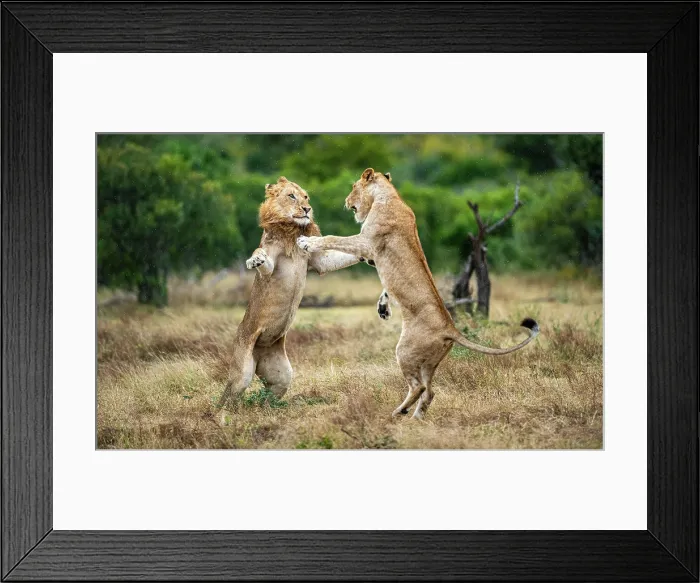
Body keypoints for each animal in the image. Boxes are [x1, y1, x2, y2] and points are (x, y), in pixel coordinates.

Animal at [217, 177, 362, 408]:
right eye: (291, 196)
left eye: (306, 197)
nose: (307, 209)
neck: (292, 230)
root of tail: (260, 349)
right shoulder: (271, 262)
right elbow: (262, 258)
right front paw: (254, 260)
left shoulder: (319, 261)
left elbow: (341, 255)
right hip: (242, 372)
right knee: (229, 397)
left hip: (282, 374)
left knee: (267, 396)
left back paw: (268, 409)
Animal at [297, 168, 539, 420]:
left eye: (354, 187)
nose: (346, 201)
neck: (388, 196)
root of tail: (450, 329)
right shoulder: (371, 254)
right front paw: (383, 307)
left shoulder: (365, 242)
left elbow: (333, 239)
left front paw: (306, 241)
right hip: (429, 362)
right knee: (430, 391)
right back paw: (416, 418)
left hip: (405, 350)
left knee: (419, 387)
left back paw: (398, 412)